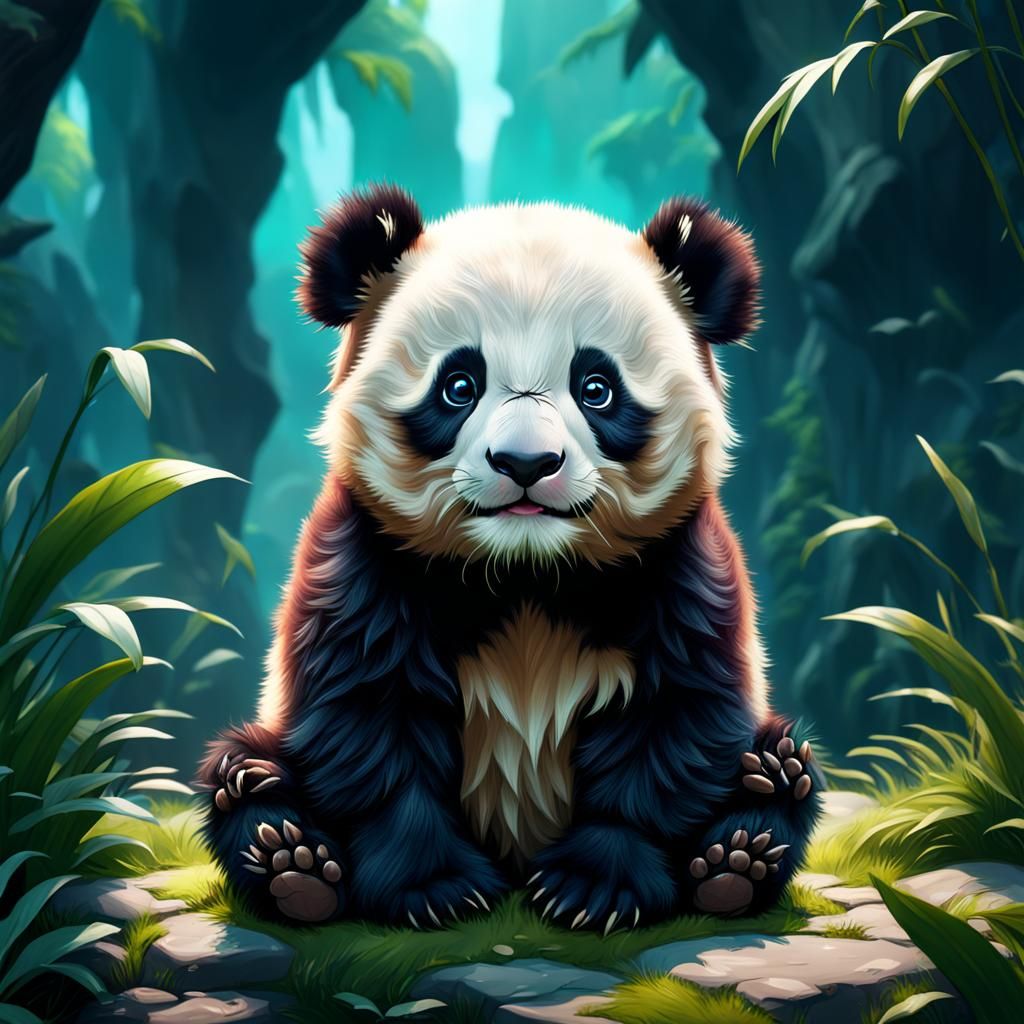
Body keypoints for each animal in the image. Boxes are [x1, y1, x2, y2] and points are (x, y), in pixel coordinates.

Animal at [200, 184, 821, 931]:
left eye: (596, 387)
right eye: (459, 384)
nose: (526, 463)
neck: (525, 573)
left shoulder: (678, 565)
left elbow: (673, 720)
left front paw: (592, 888)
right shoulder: (366, 562)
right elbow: (370, 720)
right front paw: (434, 888)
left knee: (778, 760)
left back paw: (742, 849)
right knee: (241, 765)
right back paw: (289, 855)